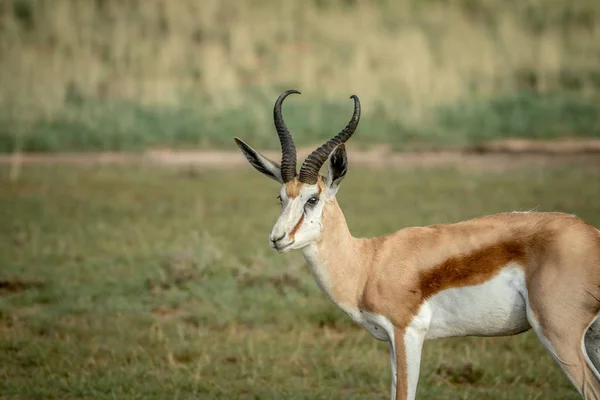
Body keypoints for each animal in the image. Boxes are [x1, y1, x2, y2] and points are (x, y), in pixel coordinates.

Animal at [233, 89, 600, 398]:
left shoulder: (407, 333)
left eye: (313, 199)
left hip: (558, 333)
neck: (367, 264)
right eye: (281, 197)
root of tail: (591, 235)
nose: (277, 238)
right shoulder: (392, 343)